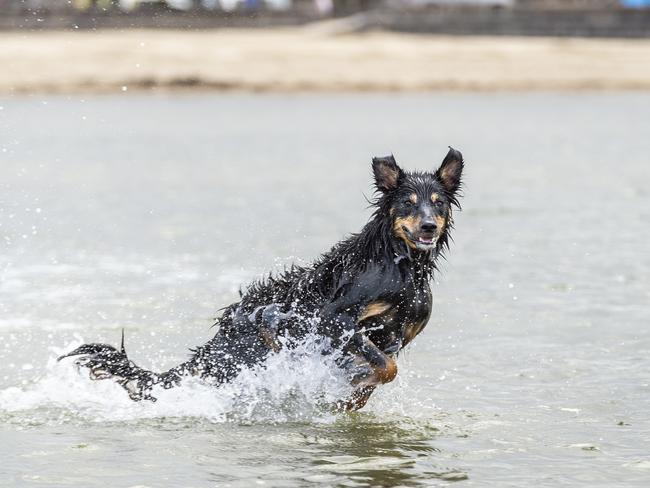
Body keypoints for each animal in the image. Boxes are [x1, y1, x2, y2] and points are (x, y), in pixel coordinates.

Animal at [57, 147, 460, 410]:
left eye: (438, 202)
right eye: (407, 202)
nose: (428, 226)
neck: (402, 264)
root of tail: (218, 337)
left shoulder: (396, 337)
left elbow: (380, 369)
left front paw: (350, 392)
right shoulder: (334, 319)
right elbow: (383, 367)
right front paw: (351, 385)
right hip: (248, 355)